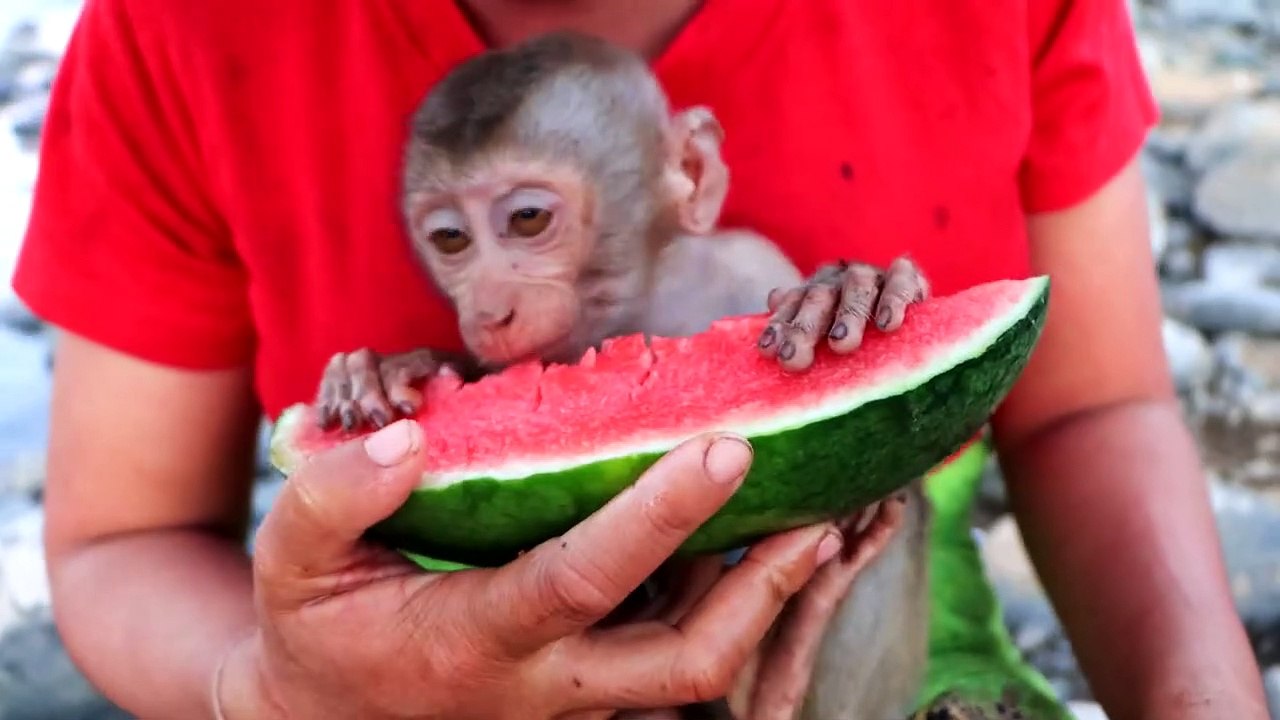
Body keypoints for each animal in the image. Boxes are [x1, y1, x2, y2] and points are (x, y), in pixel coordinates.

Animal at [313, 31, 947, 720]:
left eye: (528, 219)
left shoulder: (749, 260)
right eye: (451, 238)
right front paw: (382, 372)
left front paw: (842, 290)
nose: (487, 312)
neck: (638, 309)